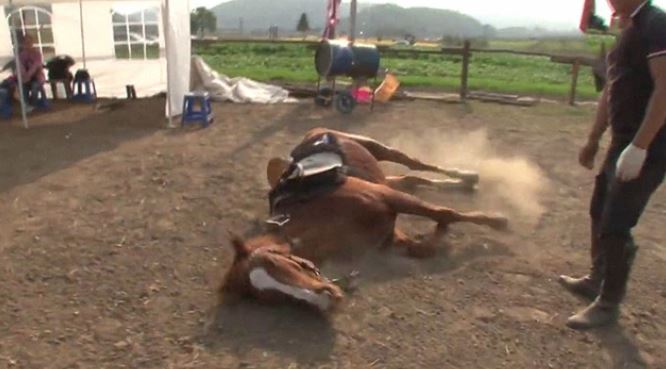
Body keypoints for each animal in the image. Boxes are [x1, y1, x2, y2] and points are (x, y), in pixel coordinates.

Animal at [218, 128, 504, 312]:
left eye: (279, 264)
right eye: (270, 297)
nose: (327, 300)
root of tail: (313, 134)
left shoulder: (388, 197)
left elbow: (446, 213)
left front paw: (497, 220)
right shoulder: (389, 236)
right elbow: (425, 246)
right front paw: (439, 235)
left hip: (378, 149)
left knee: (414, 164)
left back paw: (467, 176)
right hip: (383, 177)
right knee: (412, 178)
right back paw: (461, 183)